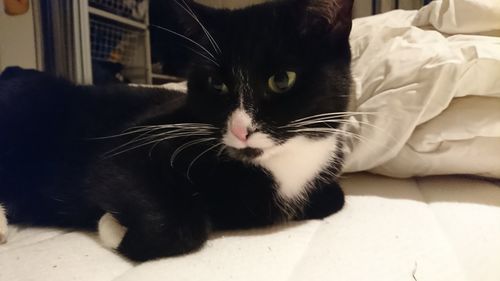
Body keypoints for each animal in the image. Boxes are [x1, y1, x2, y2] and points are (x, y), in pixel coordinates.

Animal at [0, 0, 352, 260]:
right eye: (216, 83)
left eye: (281, 79)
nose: (240, 130)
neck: (282, 165)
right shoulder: (136, 142)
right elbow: (177, 226)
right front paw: (112, 227)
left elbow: (336, 197)